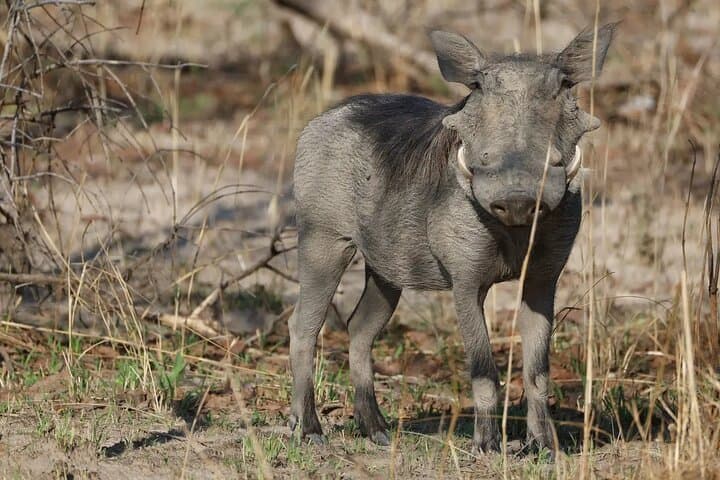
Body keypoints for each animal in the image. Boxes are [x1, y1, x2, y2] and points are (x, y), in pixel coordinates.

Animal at [288, 23, 616, 454]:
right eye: (477, 85)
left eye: (564, 84)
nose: (518, 199)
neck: (513, 231)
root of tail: (322, 118)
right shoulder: (466, 282)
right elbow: (483, 369)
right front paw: (487, 446)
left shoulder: (542, 280)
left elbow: (537, 371)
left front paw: (544, 446)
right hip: (322, 242)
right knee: (303, 327)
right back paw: (309, 430)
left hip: (385, 270)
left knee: (359, 329)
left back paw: (377, 430)